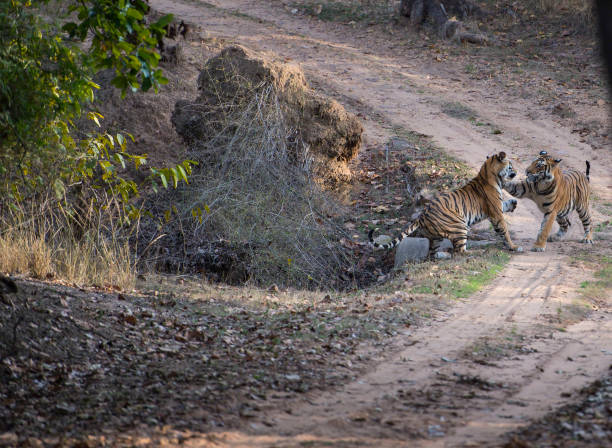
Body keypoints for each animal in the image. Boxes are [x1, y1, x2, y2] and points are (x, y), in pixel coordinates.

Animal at [368, 151, 520, 260]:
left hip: (435, 237)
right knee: (460, 252)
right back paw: (479, 252)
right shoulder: (496, 212)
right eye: (511, 164)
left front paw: (513, 204)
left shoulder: (496, 209)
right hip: (459, 224)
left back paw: (444, 255)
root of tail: (422, 215)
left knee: (432, 254)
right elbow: (505, 231)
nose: (517, 172)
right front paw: (514, 246)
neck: (491, 174)